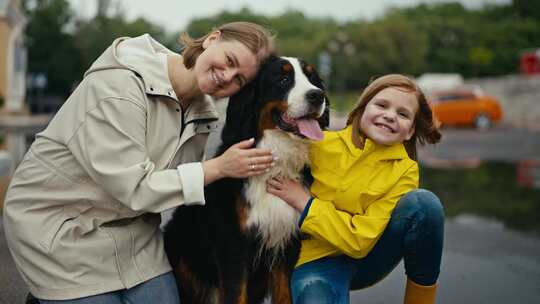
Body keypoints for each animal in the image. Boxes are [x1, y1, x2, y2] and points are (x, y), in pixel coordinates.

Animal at [161, 55, 330, 304]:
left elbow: (284, 294)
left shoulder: (286, 243)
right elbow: (236, 294)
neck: (275, 162)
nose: (317, 95)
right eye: (283, 79)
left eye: (312, 78)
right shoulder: (233, 246)